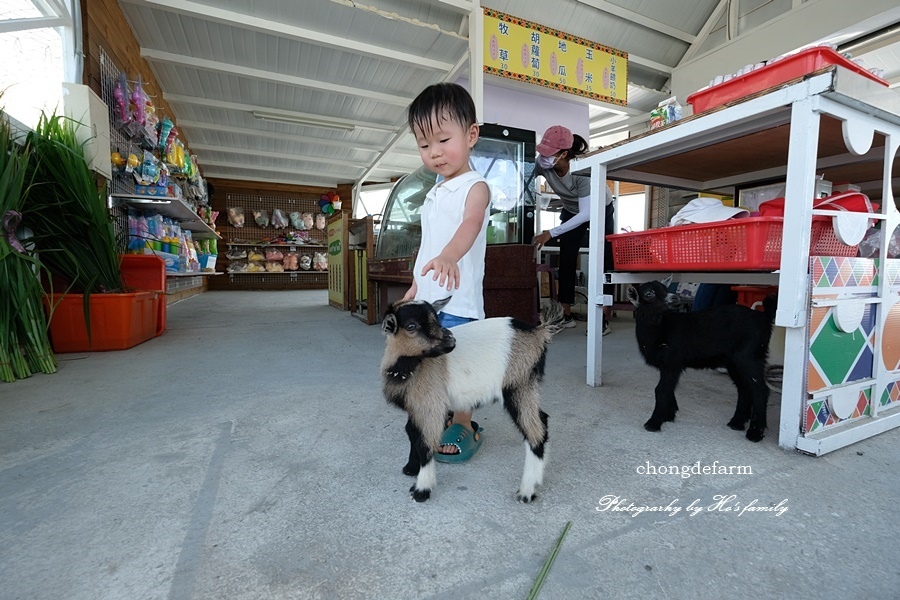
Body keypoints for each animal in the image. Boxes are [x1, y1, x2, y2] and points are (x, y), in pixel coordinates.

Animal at [380, 298, 564, 502]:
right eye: (411, 326)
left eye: (436, 318)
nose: (451, 339)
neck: (408, 367)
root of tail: (540, 332)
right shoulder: (416, 406)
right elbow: (412, 432)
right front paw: (411, 468)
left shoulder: (431, 404)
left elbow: (424, 442)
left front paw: (421, 490)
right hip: (526, 385)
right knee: (543, 420)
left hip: (517, 384)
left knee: (535, 432)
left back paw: (527, 490)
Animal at [628, 280, 776, 440]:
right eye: (649, 294)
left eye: (665, 289)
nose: (675, 298)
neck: (660, 330)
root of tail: (764, 317)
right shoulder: (669, 365)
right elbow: (669, 388)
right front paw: (669, 415)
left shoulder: (672, 362)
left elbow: (661, 389)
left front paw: (654, 422)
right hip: (735, 362)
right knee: (744, 388)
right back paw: (737, 422)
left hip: (749, 356)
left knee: (760, 389)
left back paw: (755, 432)